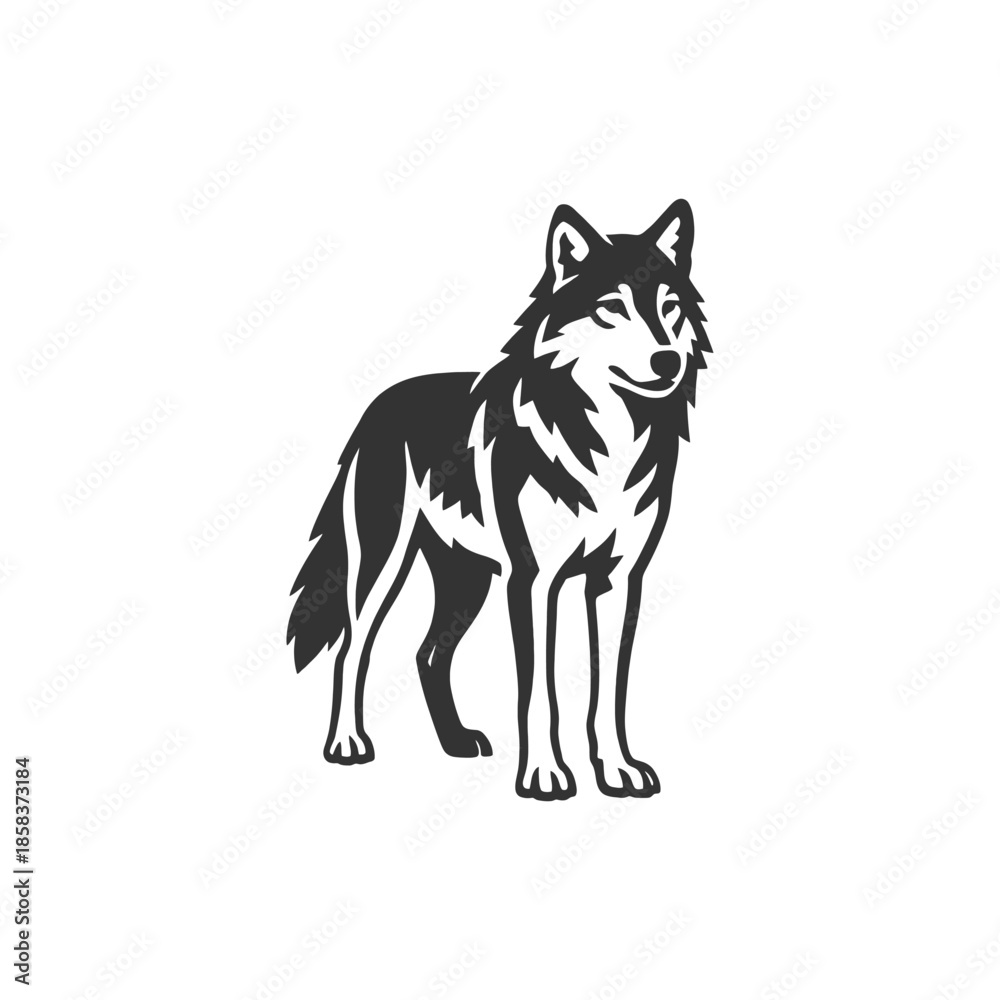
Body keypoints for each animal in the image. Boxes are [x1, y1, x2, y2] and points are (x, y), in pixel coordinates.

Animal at [287, 200, 710, 800]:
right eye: (611, 308)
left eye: (669, 308)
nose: (667, 361)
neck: (608, 441)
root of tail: (379, 403)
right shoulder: (533, 581)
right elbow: (539, 694)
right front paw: (544, 776)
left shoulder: (618, 580)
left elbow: (609, 691)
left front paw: (618, 770)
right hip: (382, 568)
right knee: (352, 650)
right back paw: (347, 744)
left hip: (469, 582)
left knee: (427, 654)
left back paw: (456, 742)